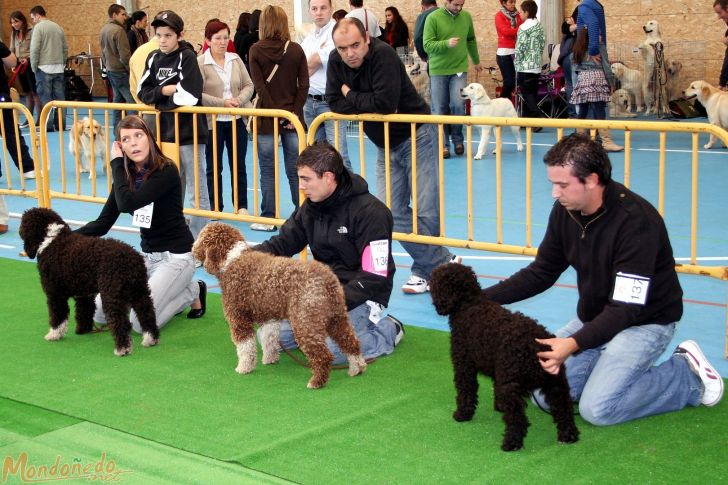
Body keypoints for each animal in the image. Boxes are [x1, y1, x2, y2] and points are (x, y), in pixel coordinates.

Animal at [18, 207, 159, 356]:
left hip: (112, 295)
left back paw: (122, 348)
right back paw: (150, 339)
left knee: (121, 321)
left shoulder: (55, 294)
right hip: (140, 291)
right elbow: (84, 311)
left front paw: (54, 334)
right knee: (147, 314)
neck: (52, 240)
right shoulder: (84, 294)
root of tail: (131, 258)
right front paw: (83, 330)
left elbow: (58, 316)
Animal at [192, 224, 366, 390]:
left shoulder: (238, 317)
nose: (193, 248)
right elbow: (269, 339)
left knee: (324, 355)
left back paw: (316, 382)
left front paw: (244, 367)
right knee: (351, 342)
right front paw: (270, 359)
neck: (233, 260)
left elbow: (245, 347)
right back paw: (357, 367)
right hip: (337, 316)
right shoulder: (269, 318)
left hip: (305, 322)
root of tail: (327, 278)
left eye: (202, 237)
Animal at [430, 262, 576, 452]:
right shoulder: (496, 369)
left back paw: (511, 443)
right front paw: (498, 406)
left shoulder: (464, 365)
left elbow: (466, 391)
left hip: (512, 385)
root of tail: (534, 345)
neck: (469, 303)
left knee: (518, 419)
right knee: (565, 409)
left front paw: (462, 414)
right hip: (556, 382)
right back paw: (569, 436)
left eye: (434, 281)